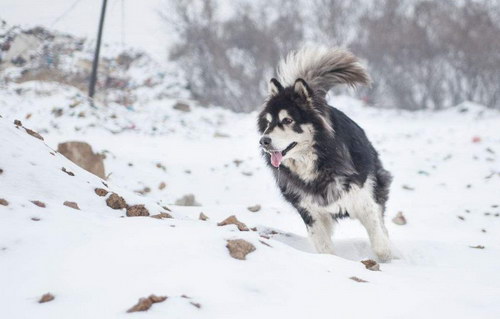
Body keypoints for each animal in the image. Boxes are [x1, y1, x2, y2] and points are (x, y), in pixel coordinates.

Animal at [260, 47, 392, 262]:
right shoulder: (310, 211)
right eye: (269, 122)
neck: (318, 161)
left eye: (287, 120)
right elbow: (324, 247)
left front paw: (389, 255)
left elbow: (379, 239)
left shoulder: (362, 198)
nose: (263, 141)